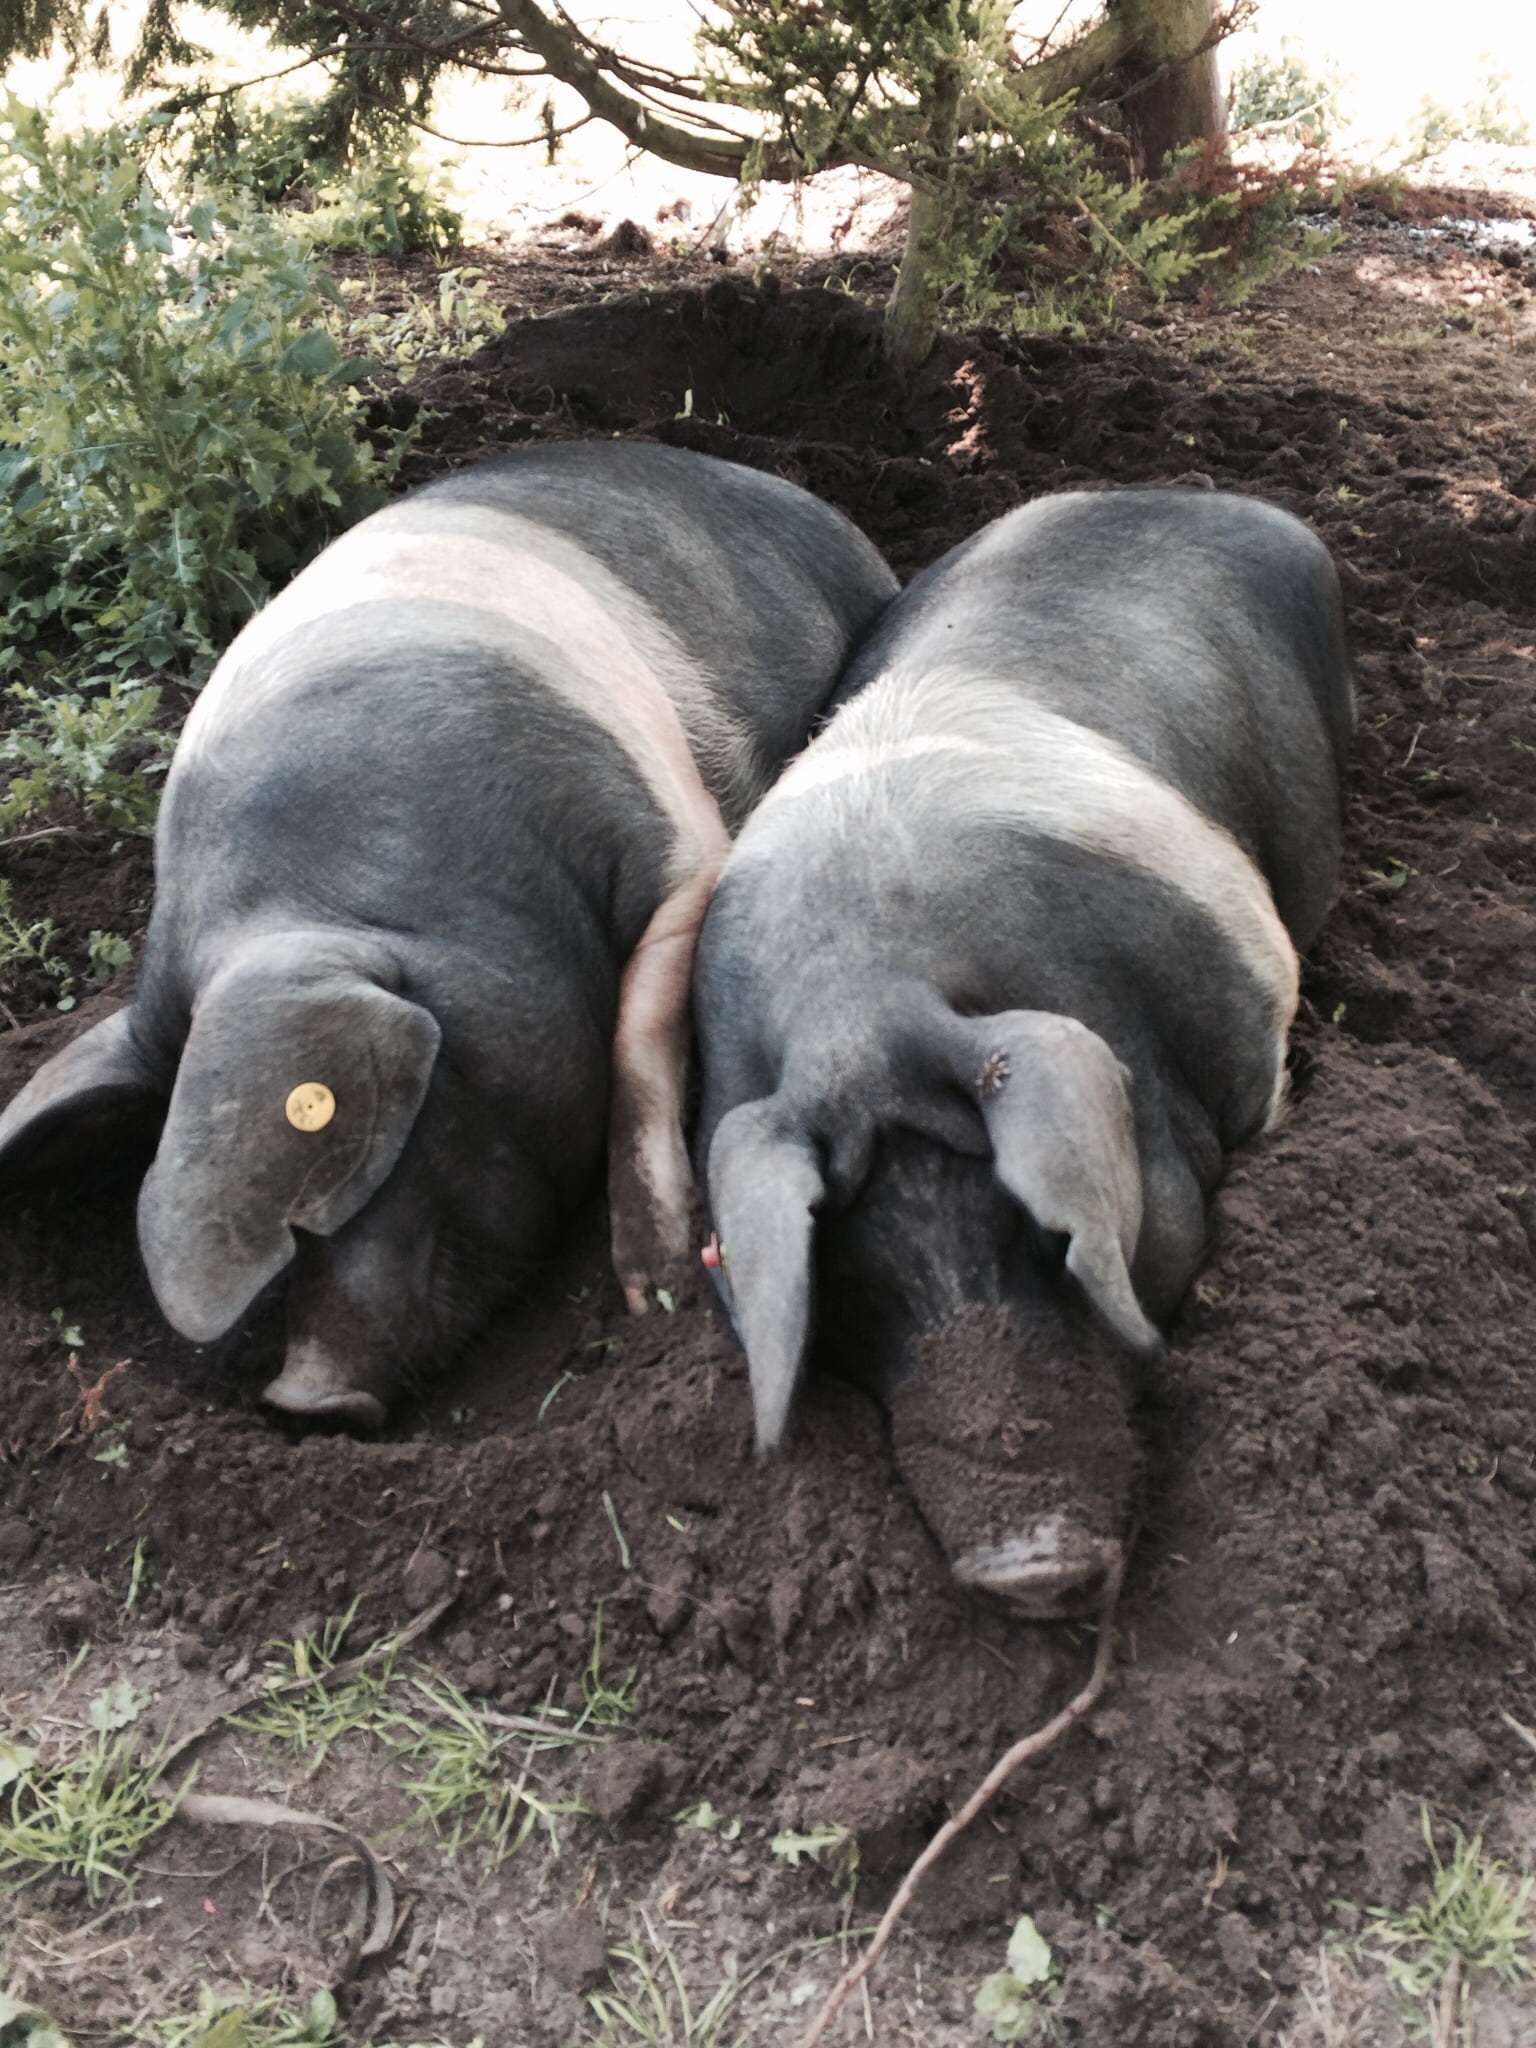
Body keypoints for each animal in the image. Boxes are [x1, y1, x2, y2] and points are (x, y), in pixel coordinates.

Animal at [0, 441, 898, 1423]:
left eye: (407, 1112)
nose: (300, 1399)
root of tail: (767, 481)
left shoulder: (682, 846)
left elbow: (637, 1046)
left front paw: (650, 1293)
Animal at [695, 487, 1353, 1615]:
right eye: (849, 1276)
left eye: (1046, 1235)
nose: (1029, 1561)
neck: (860, 987)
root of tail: (1196, 493)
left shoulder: (1256, 1023)